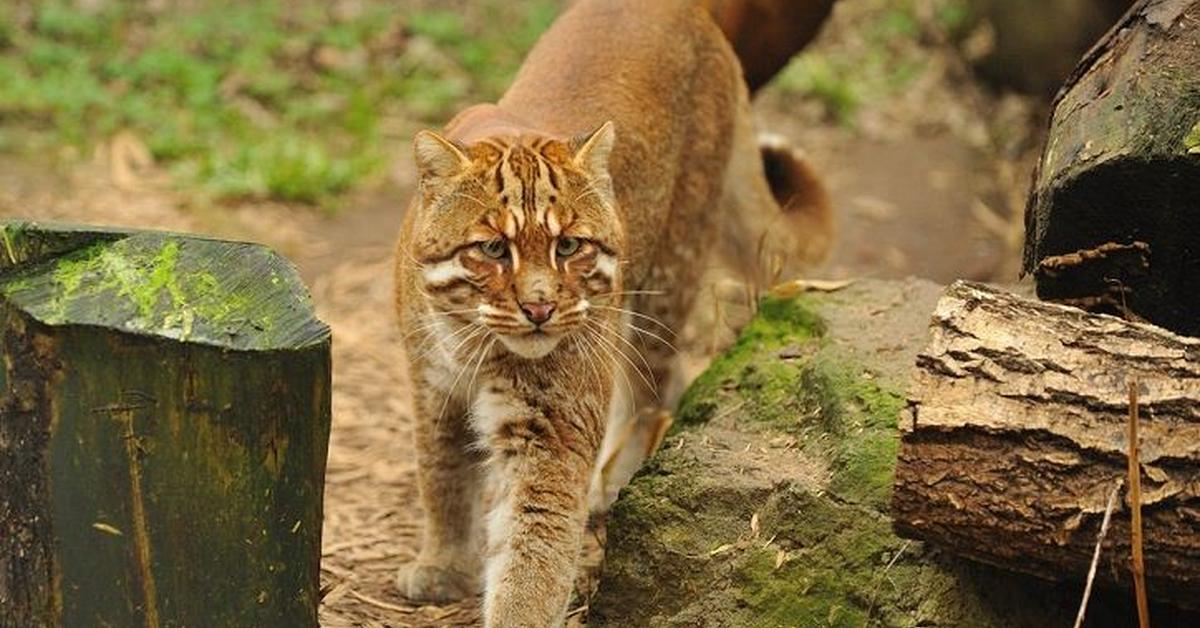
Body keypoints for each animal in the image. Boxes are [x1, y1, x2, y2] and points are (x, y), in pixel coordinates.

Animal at [393, 0, 835, 624]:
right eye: (494, 249)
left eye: (569, 246)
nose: (539, 306)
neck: (471, 342)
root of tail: (683, 8)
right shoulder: (432, 387)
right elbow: (442, 476)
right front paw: (444, 563)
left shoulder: (549, 428)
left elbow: (533, 548)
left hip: (667, 277)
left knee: (656, 387)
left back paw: (617, 479)